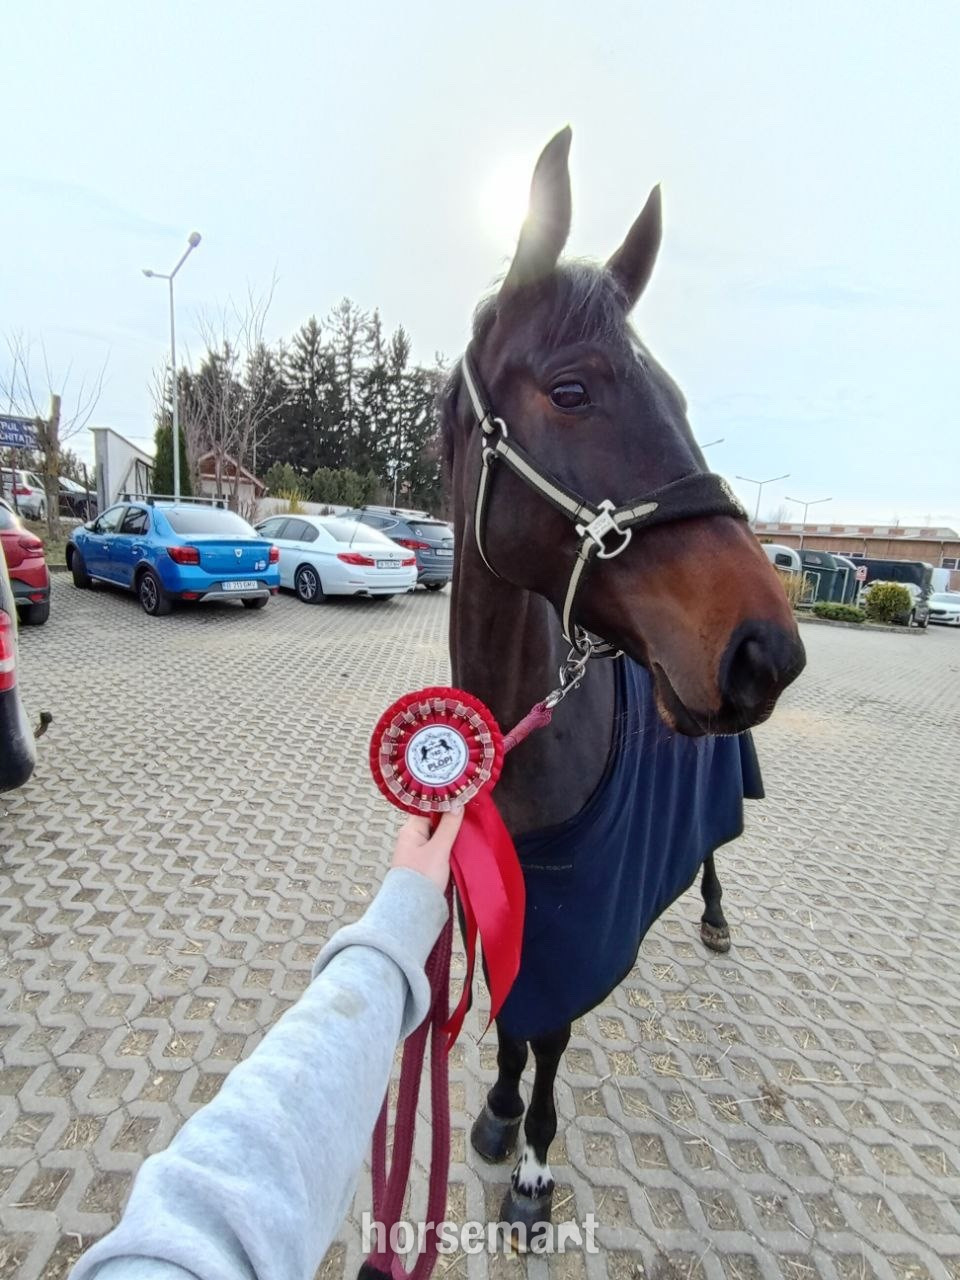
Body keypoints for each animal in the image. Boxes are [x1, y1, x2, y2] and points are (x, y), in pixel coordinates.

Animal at [442, 127, 805, 1238]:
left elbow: (552, 1033)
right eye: (572, 389)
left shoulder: (581, 922)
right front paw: (495, 1111)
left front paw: (532, 1170)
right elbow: (511, 1019)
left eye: (681, 401)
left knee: (721, 846)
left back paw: (715, 912)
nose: (767, 650)